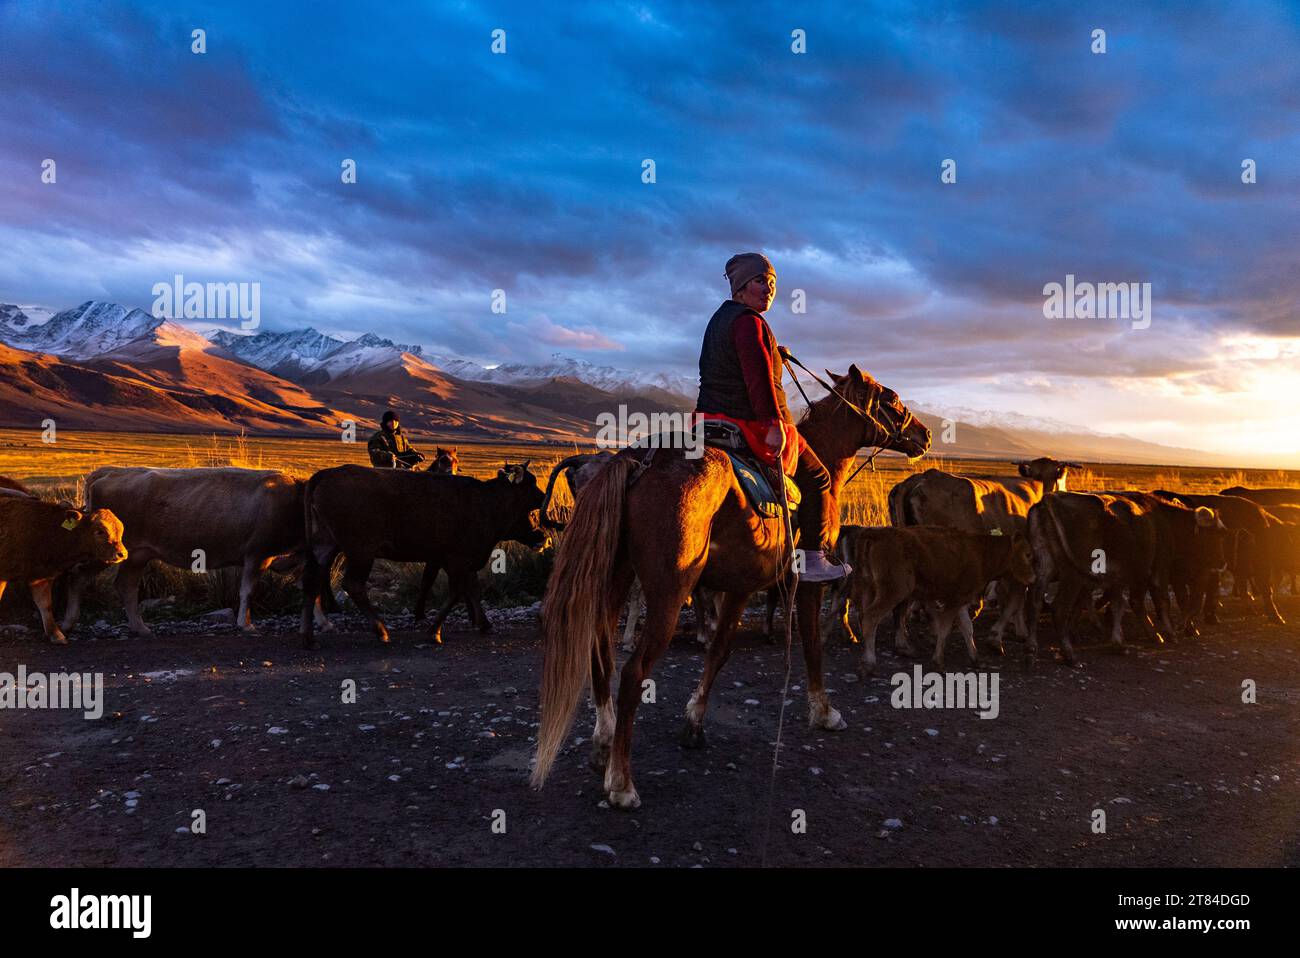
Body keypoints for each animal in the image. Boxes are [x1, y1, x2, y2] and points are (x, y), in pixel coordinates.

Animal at [0, 496, 128, 647]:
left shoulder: (40, 576)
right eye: (100, 531)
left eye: (120, 530)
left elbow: (45, 604)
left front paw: (56, 635)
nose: (122, 554)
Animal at [301, 462, 546, 647]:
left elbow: (471, 589)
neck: (488, 502)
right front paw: (434, 631)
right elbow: (458, 591)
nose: (541, 535)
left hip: (324, 545)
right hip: (361, 550)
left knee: (311, 582)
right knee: (353, 585)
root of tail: (325, 475)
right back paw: (380, 630)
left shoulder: (460, 560)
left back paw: (309, 638)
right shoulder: (457, 559)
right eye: (532, 483)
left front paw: (483, 623)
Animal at [533, 366, 930, 805]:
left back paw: (602, 745)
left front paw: (694, 720)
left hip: (616, 578)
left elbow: (720, 651)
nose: (926, 435)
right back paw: (621, 782)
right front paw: (824, 711)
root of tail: (639, 462)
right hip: (668, 592)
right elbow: (812, 646)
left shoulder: (740, 585)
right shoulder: (808, 583)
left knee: (599, 653)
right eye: (891, 399)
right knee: (634, 672)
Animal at [842, 522, 1034, 670]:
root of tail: (875, 534)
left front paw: (975, 658)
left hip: (869, 588)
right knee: (871, 618)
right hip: (894, 591)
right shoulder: (954, 600)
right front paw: (938, 660)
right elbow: (945, 628)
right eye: (1027, 554)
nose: (1033, 578)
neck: (981, 552)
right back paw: (869, 663)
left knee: (864, 616)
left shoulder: (961, 600)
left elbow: (967, 628)